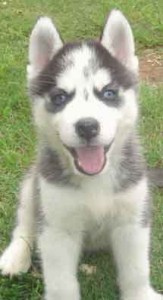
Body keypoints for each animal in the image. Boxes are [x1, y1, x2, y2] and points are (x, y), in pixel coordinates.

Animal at [0, 9, 162, 300]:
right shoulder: (56, 228)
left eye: (108, 93)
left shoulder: (132, 220)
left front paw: (140, 294)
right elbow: (61, 283)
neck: (95, 180)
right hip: (33, 184)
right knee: (25, 222)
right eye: (60, 97)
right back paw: (15, 256)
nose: (87, 126)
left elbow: (136, 269)